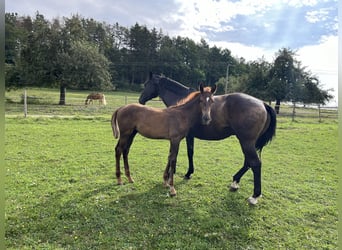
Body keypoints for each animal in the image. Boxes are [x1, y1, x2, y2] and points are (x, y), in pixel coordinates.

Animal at [138, 72, 276, 205]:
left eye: (146, 84)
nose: (140, 100)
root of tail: (262, 103)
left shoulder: (185, 136)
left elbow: (188, 153)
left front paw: (185, 173)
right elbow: (177, 154)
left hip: (246, 142)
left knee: (255, 163)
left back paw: (254, 196)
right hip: (248, 142)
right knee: (248, 162)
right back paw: (235, 182)